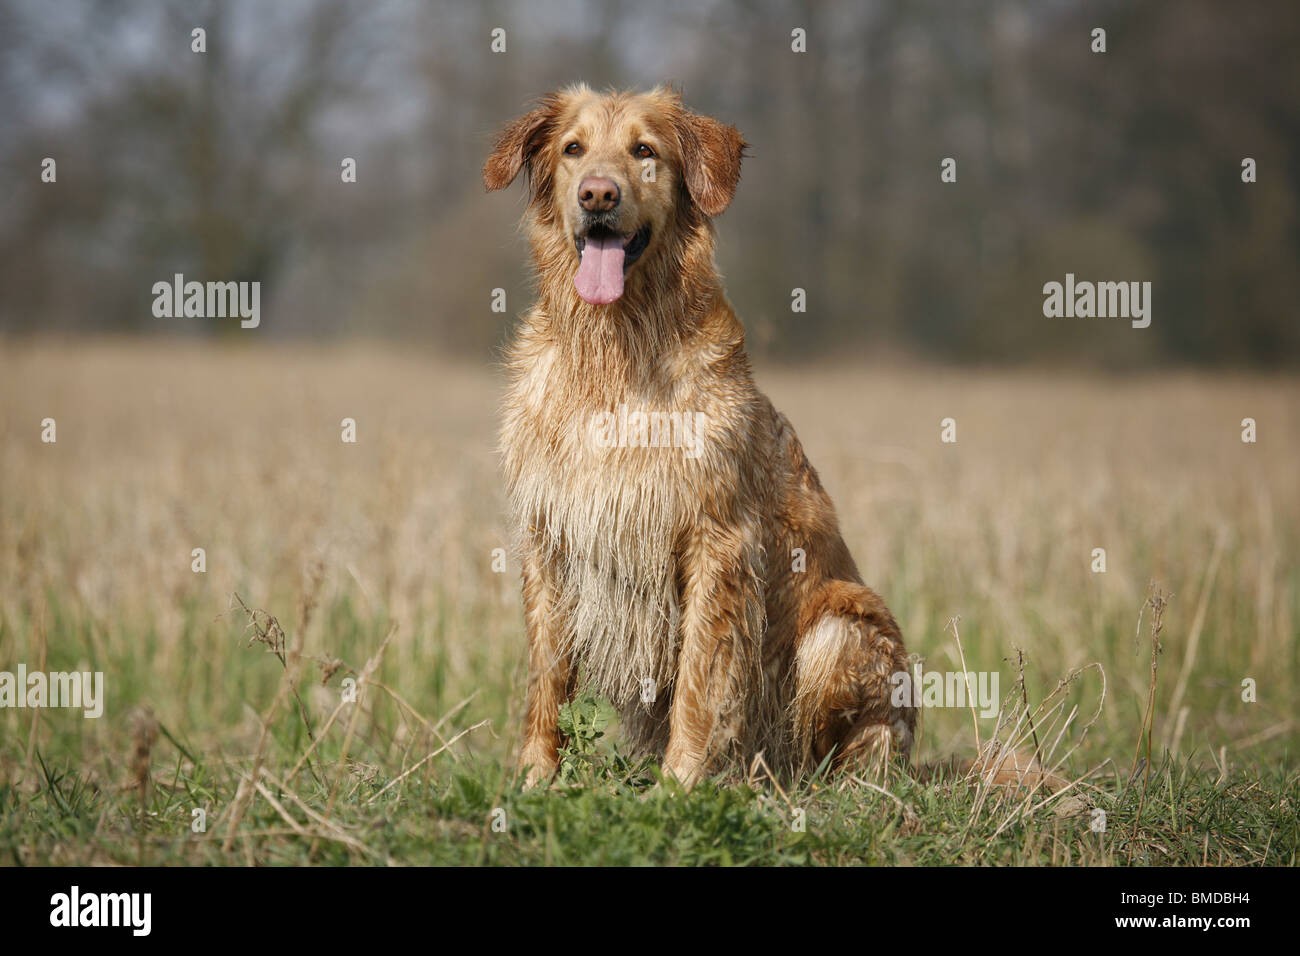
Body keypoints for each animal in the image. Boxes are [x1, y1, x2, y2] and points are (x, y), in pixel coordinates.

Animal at [480, 83, 915, 785]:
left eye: (644, 151)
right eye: (573, 148)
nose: (597, 195)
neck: (615, 348)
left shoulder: (718, 541)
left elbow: (699, 680)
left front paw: (681, 781)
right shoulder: (549, 536)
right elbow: (547, 678)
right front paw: (536, 775)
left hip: (841, 627)